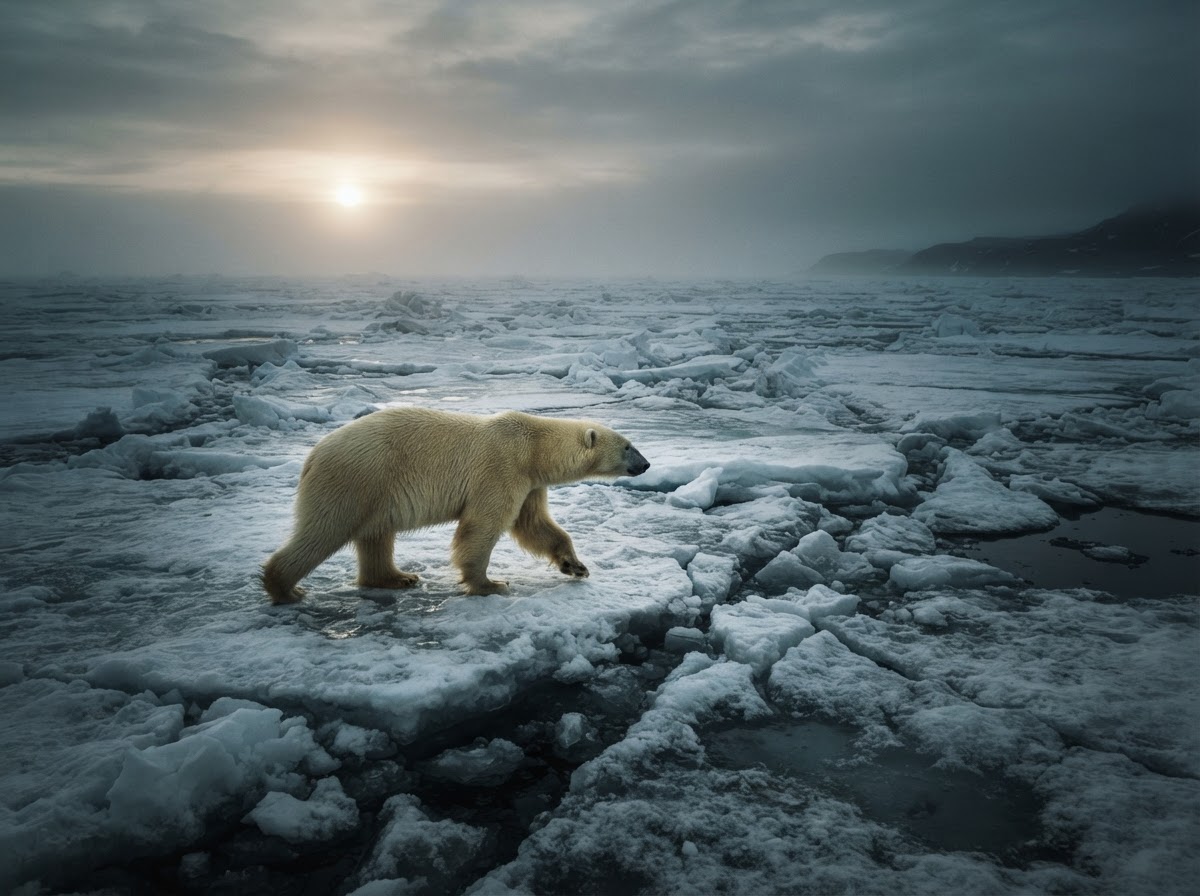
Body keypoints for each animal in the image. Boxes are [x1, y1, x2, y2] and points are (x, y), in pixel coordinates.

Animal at [261, 407, 650, 603]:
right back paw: (285, 588)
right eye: (628, 446)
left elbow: (535, 526)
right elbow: (483, 525)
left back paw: (397, 578)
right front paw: (490, 584)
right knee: (324, 529)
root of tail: (313, 455)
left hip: (374, 490)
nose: (646, 464)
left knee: (376, 535)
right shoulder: (501, 468)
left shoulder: (530, 482)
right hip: (355, 479)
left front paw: (575, 566)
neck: (533, 448)